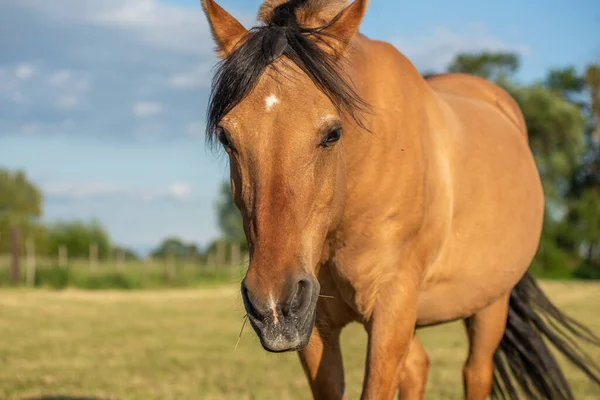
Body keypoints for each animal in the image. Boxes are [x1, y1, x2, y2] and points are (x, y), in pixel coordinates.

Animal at [200, 1, 600, 398]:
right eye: (226, 137)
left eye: (333, 133)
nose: (273, 305)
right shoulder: (316, 328)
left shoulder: (391, 309)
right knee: (417, 366)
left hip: (489, 306)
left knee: (475, 372)